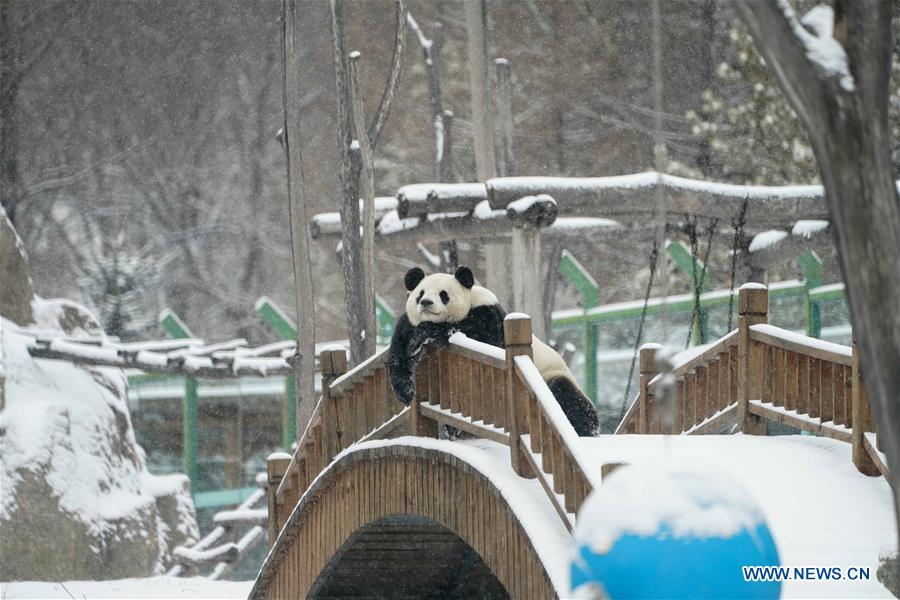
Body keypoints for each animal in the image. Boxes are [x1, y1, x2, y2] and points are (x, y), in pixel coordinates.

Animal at [388, 266, 599, 436]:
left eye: (443, 294)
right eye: (420, 293)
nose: (425, 302)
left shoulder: (488, 315)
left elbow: (480, 339)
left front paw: (432, 330)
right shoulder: (407, 325)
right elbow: (399, 353)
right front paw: (406, 392)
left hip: (552, 376)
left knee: (566, 394)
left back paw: (586, 430)